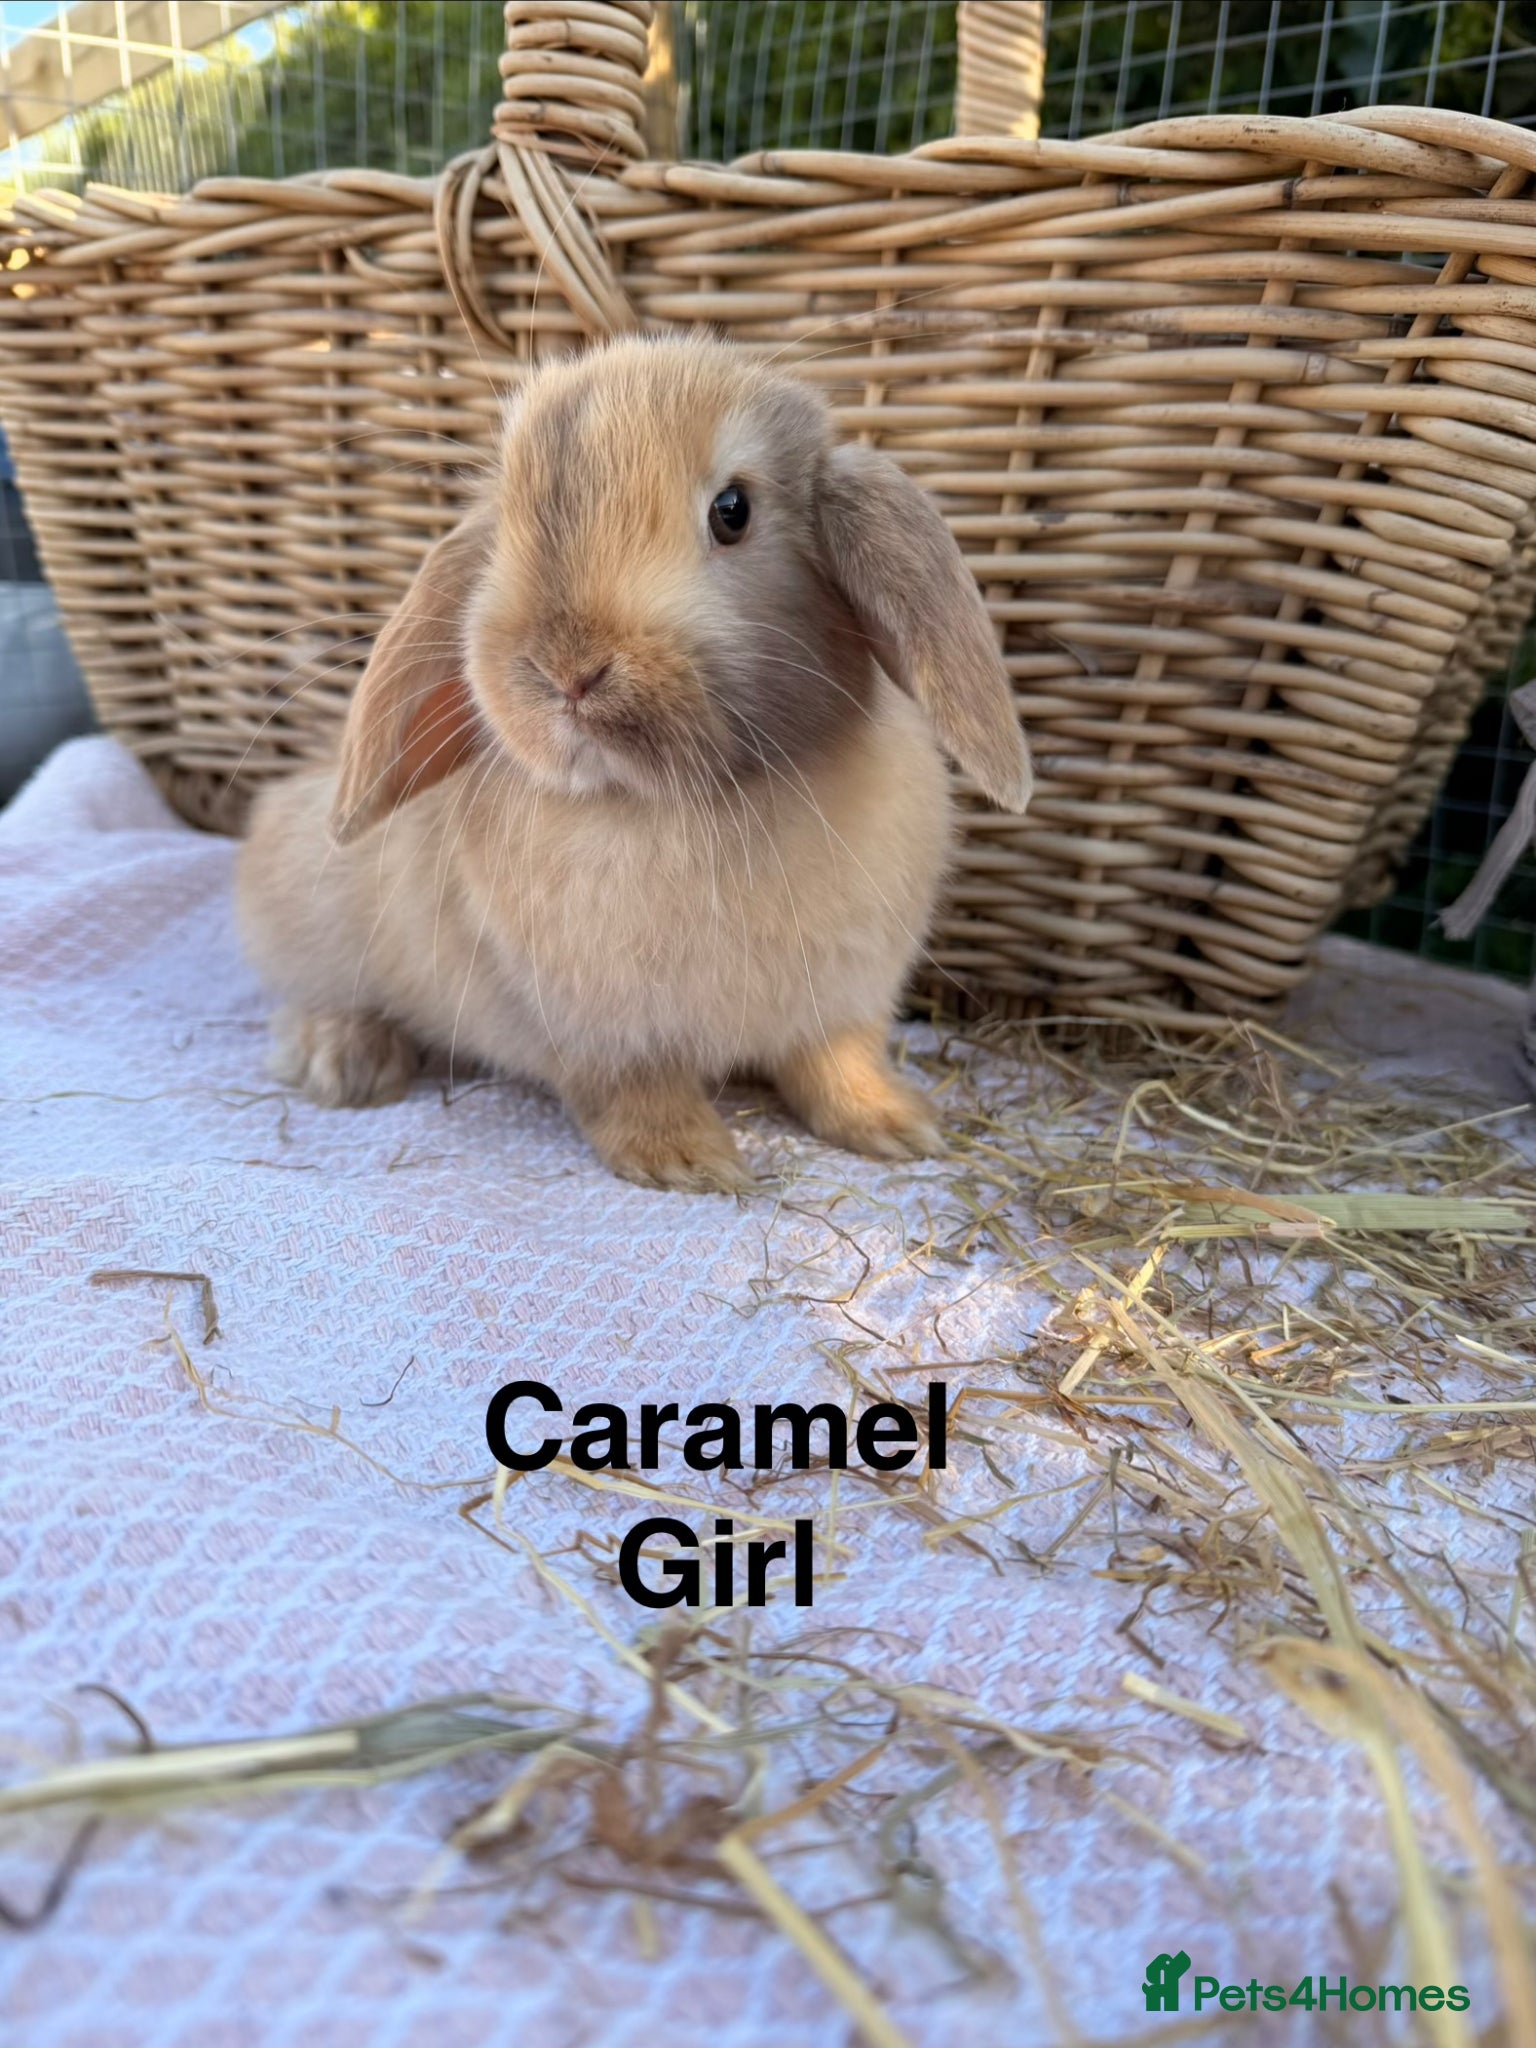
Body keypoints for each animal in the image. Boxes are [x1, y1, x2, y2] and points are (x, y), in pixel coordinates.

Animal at [237, 335, 1031, 1193]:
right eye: (508, 523)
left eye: (733, 510)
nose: (565, 666)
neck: (676, 801)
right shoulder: (593, 1034)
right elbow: (634, 1090)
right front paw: (691, 1162)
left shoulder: (841, 1000)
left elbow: (835, 1062)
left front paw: (898, 1124)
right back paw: (344, 1060)